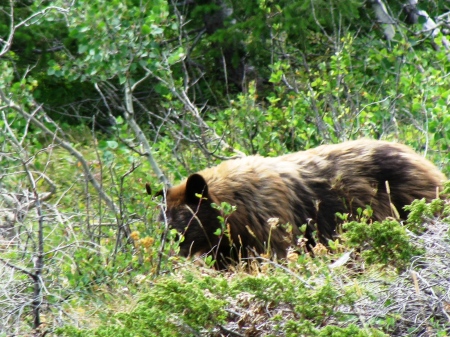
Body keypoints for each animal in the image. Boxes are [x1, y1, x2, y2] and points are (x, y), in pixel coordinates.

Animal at [158, 138, 446, 266]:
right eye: (165, 225)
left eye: (183, 223)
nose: (176, 250)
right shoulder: (227, 245)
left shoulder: (268, 219)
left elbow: (276, 252)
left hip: (408, 197)